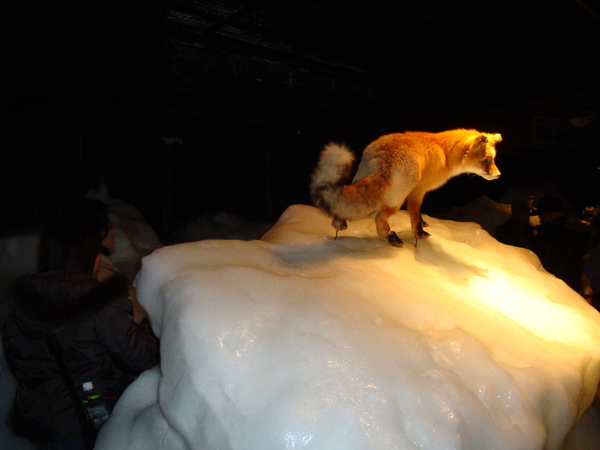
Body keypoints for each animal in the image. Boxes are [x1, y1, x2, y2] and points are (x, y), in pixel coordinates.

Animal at [310, 127, 502, 246]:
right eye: (487, 160)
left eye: (493, 159)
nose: (499, 175)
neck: (445, 153)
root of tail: (384, 155)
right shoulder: (418, 190)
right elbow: (415, 214)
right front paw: (419, 234)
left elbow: (417, 215)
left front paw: (423, 225)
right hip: (398, 198)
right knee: (379, 217)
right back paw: (389, 239)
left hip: (360, 178)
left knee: (341, 209)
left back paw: (339, 226)